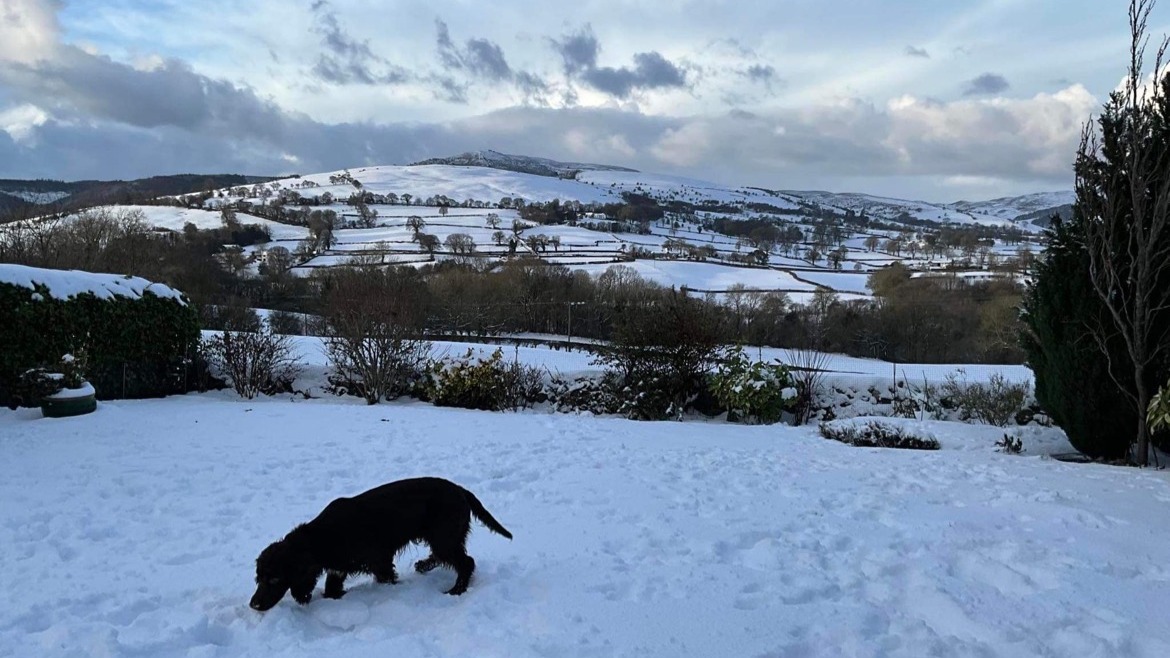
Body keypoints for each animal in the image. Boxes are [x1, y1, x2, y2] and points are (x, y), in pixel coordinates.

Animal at [251, 473, 512, 608]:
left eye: (274, 579)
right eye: (258, 578)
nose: (254, 605)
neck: (323, 536)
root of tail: (460, 489)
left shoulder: (380, 561)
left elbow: (387, 578)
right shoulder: (339, 568)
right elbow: (332, 588)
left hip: (444, 536)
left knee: (466, 562)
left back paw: (456, 590)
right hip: (443, 536)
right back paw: (423, 566)